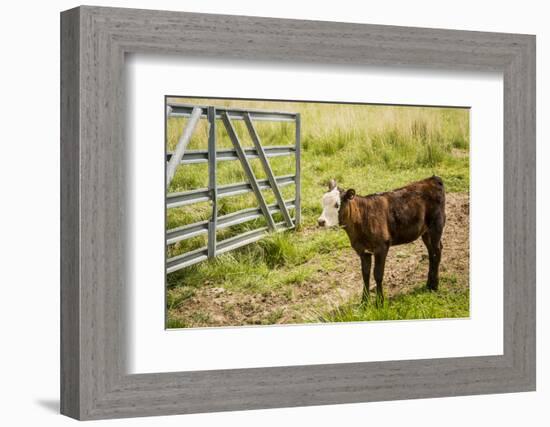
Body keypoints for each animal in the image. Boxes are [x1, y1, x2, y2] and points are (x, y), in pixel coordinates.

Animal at [322, 176, 446, 304]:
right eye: (323, 202)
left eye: (337, 205)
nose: (321, 221)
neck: (362, 218)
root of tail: (432, 179)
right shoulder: (363, 251)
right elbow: (365, 274)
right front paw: (364, 302)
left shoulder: (381, 247)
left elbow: (378, 274)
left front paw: (379, 302)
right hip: (425, 232)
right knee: (431, 252)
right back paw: (429, 284)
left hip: (436, 225)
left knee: (437, 251)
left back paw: (434, 286)